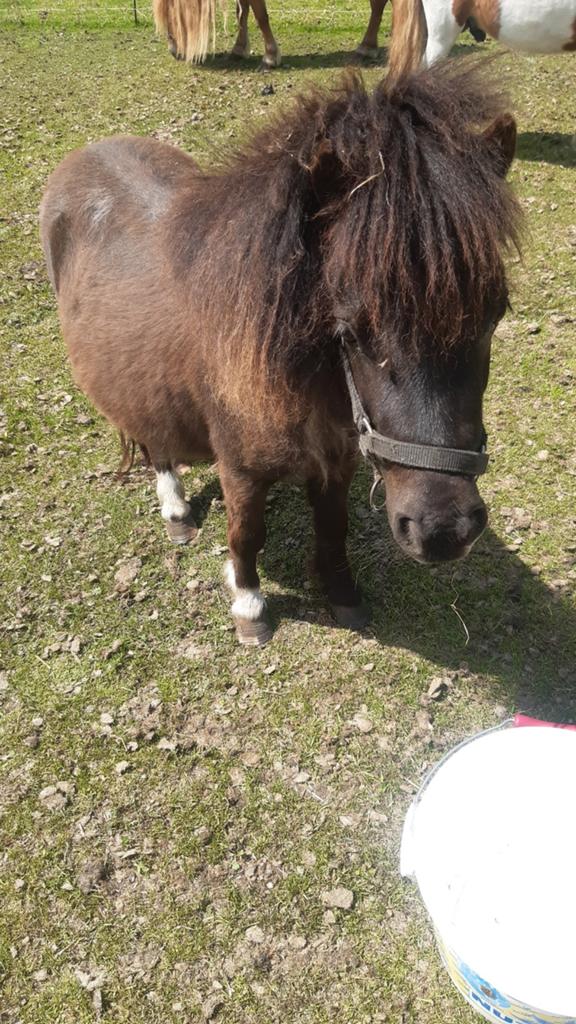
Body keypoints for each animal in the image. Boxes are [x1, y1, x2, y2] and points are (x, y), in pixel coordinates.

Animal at [40, 62, 520, 647]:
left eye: (495, 313)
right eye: (351, 331)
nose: (444, 530)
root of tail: (86, 154)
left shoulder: (337, 462)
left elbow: (333, 529)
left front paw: (342, 594)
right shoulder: (241, 470)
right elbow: (247, 535)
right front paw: (249, 606)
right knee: (157, 444)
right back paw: (177, 512)